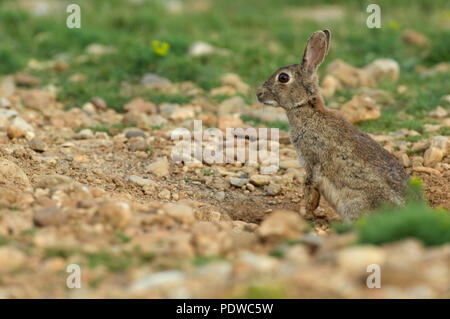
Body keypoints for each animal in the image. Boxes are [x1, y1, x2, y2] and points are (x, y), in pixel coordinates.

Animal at [256, 30, 408, 222]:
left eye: (283, 78)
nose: (258, 93)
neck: (308, 110)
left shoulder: (312, 162)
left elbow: (309, 189)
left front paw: (304, 212)